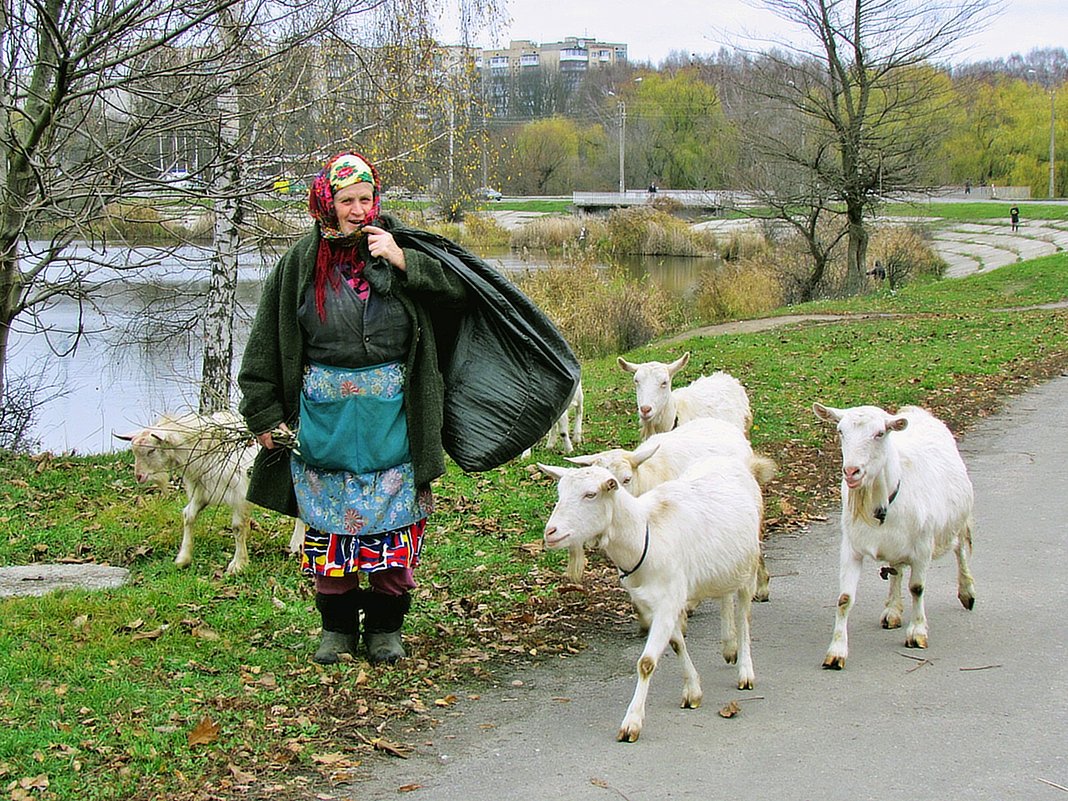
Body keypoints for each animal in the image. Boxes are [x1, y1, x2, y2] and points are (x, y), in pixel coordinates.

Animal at [116, 410, 305, 572]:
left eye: (152, 450)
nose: (139, 476)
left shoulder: (240, 495)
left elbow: (237, 527)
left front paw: (238, 563)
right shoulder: (202, 492)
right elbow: (188, 515)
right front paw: (183, 558)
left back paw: (297, 545)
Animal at [538, 454, 764, 743]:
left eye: (590, 494)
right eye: (559, 493)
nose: (551, 532)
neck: (645, 534)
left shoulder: (669, 599)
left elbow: (646, 663)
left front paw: (631, 724)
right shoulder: (655, 603)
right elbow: (676, 644)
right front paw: (693, 691)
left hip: (749, 564)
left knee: (745, 615)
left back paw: (745, 671)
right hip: (725, 567)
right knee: (725, 596)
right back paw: (729, 647)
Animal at [807, 401, 978, 670]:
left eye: (880, 433)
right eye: (840, 431)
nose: (852, 471)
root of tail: (917, 412)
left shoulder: (923, 547)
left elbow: (917, 588)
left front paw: (917, 633)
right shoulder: (851, 548)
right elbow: (845, 598)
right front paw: (836, 652)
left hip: (957, 519)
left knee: (960, 549)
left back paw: (967, 593)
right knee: (896, 568)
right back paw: (892, 611)